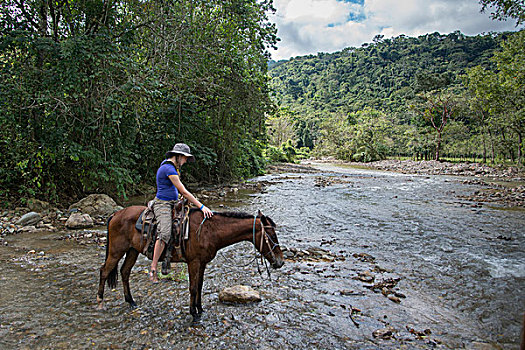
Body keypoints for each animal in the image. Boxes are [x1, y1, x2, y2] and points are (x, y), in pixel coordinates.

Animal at [94, 206, 282, 322]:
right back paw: (100, 302)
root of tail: (115, 214)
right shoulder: (194, 262)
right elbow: (192, 287)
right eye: (271, 235)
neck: (209, 231)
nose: (280, 262)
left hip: (132, 250)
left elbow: (199, 286)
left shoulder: (202, 263)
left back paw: (131, 301)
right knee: (104, 271)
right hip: (116, 251)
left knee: (124, 272)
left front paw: (200, 309)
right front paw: (193, 314)